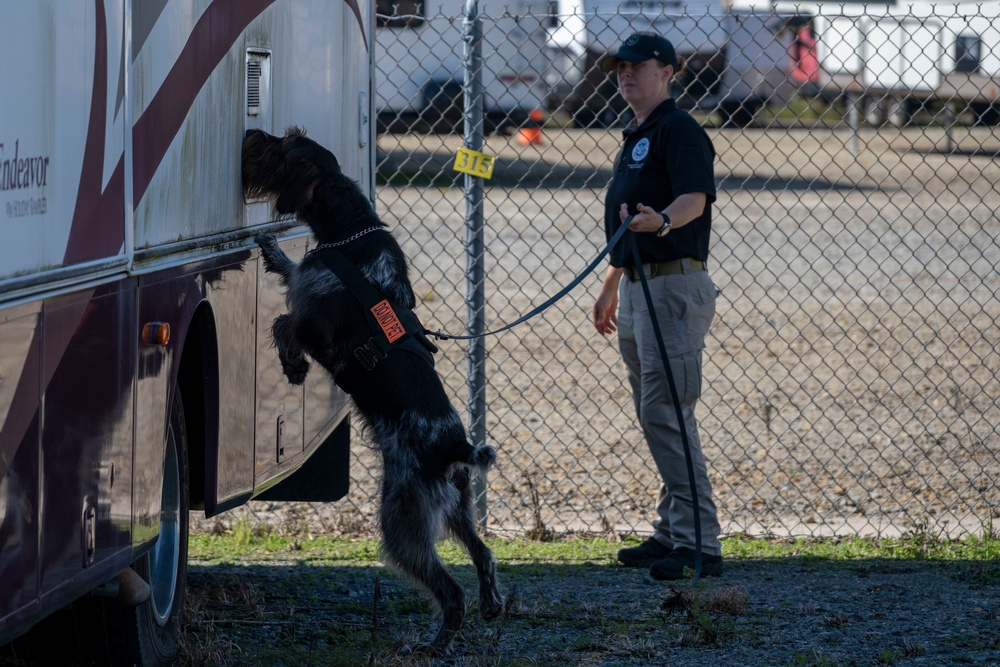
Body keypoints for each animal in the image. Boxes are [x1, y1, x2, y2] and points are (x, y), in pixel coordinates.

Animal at [243, 128, 508, 656]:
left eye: (284, 146)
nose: (255, 136)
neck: (352, 232)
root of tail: (456, 446)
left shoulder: (316, 325)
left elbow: (284, 323)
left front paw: (293, 368)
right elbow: (291, 275)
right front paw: (273, 250)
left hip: (402, 520)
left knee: (450, 591)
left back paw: (433, 645)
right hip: (458, 509)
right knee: (485, 555)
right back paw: (490, 605)